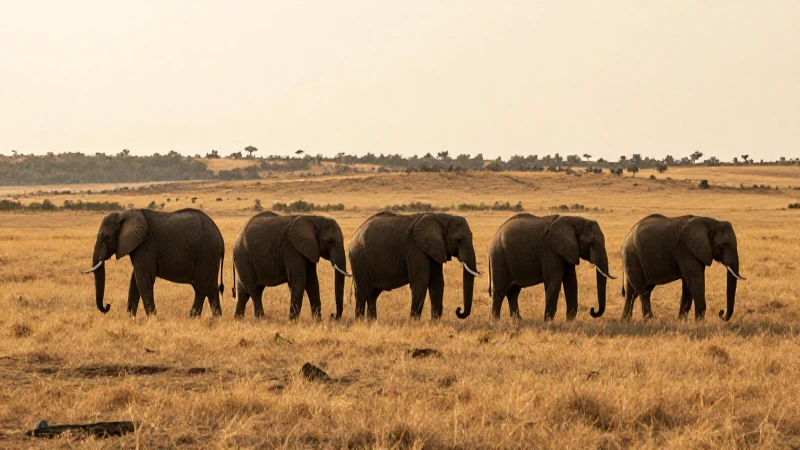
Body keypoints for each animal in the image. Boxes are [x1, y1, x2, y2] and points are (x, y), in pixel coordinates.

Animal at [81, 208, 225, 317]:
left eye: (107, 237)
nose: (107, 306)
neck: (123, 215)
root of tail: (221, 239)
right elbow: (135, 280)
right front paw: (130, 318)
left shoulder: (146, 244)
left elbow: (143, 278)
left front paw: (153, 319)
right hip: (209, 257)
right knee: (210, 287)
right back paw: (215, 319)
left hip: (206, 253)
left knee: (201, 287)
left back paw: (193, 317)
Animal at [348, 212, 482, 321]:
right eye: (458, 240)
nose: (458, 310)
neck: (441, 217)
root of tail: (355, 235)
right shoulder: (415, 248)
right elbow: (420, 283)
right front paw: (414, 322)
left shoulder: (434, 249)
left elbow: (437, 283)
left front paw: (435, 323)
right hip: (358, 259)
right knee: (362, 293)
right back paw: (360, 322)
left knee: (372, 295)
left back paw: (372, 322)